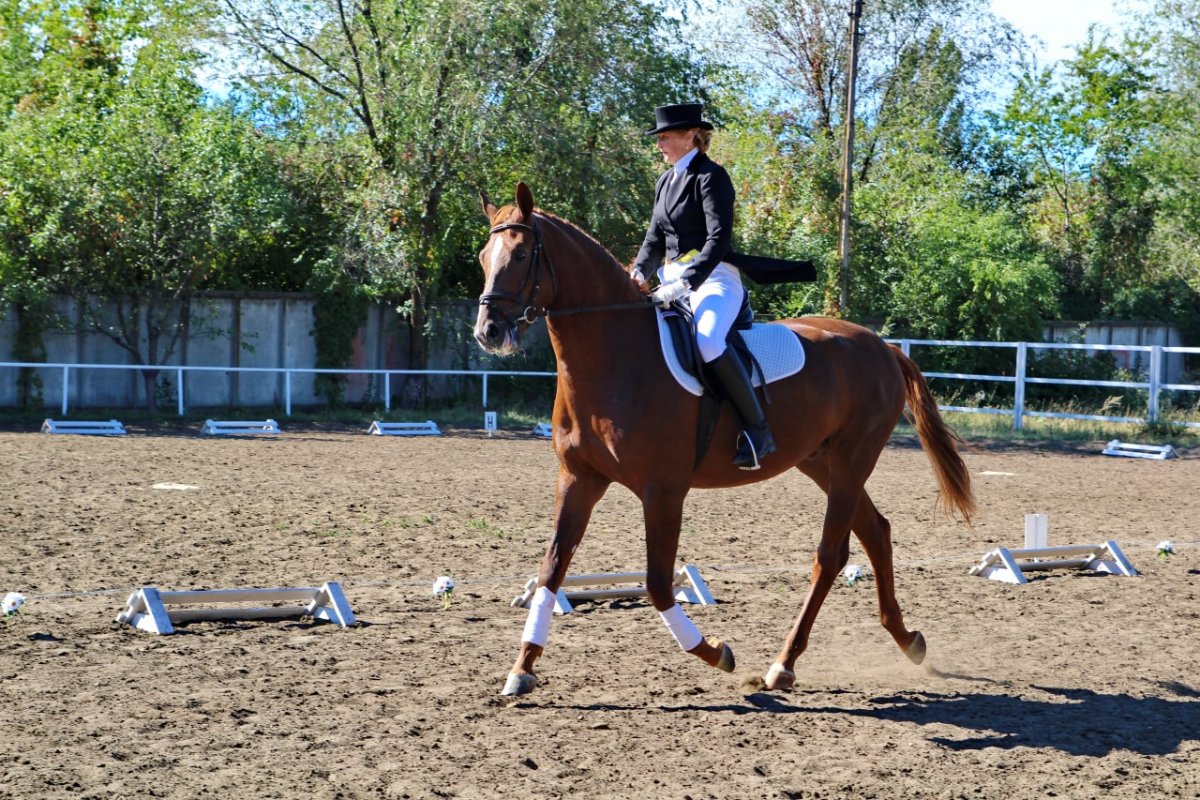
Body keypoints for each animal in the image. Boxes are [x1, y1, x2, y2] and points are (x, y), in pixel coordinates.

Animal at [472, 181, 969, 695]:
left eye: (523, 253)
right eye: (484, 257)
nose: (488, 331)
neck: (615, 357)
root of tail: (882, 346)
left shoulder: (663, 490)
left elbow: (657, 583)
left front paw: (715, 653)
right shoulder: (578, 478)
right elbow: (550, 570)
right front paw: (522, 669)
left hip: (853, 460)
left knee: (831, 554)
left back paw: (783, 663)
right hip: (821, 462)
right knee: (876, 532)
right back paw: (907, 640)